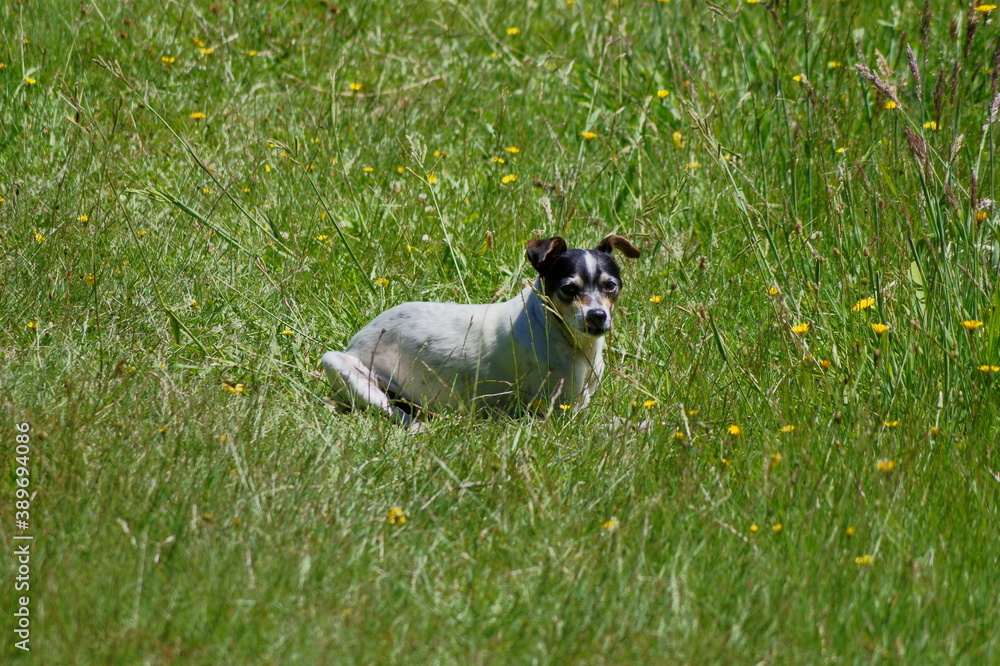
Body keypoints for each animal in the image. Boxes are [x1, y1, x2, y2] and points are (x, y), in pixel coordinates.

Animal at [324, 233, 644, 428]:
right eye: (568, 289)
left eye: (610, 286)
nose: (597, 316)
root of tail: (358, 339)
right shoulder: (558, 414)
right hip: (343, 369)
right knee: (397, 413)